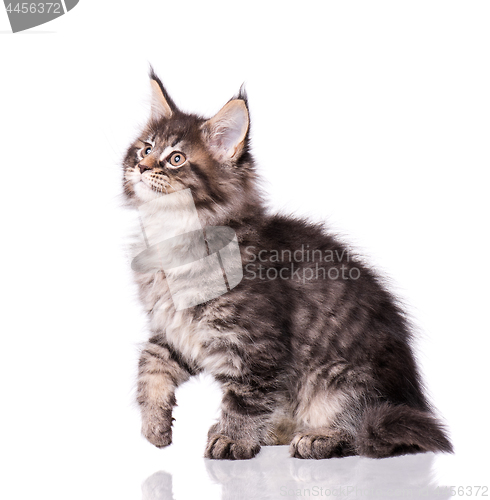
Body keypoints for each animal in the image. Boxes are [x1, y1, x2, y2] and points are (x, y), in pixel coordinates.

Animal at [122, 68, 452, 458]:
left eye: (176, 159)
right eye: (145, 148)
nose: (141, 166)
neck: (172, 236)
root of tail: (410, 398)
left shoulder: (257, 343)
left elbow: (246, 398)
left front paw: (233, 439)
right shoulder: (177, 330)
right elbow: (150, 363)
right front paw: (155, 425)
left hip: (339, 379)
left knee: (366, 434)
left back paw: (318, 437)